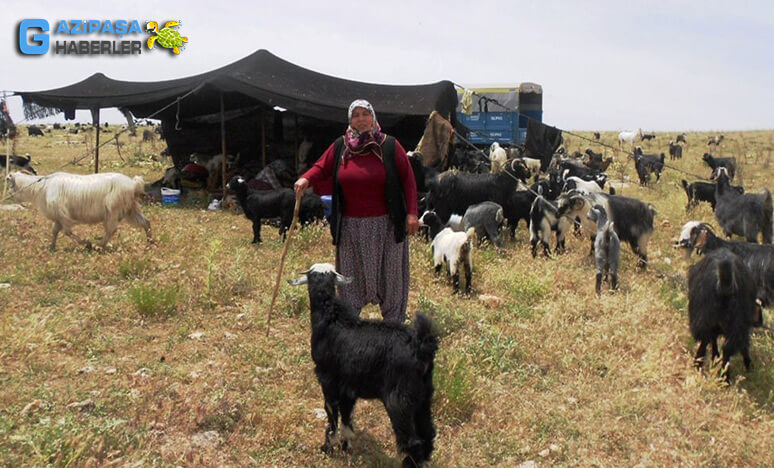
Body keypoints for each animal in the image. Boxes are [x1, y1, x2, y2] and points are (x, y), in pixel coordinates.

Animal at [6, 172, 154, 250]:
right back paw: (150, 243)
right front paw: (52, 247)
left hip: (113, 210)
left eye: (8, 181)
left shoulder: (64, 215)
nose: (8, 196)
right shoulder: (59, 217)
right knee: (146, 222)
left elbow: (67, 232)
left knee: (111, 230)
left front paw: (86, 244)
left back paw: (99, 246)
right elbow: (55, 232)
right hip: (131, 209)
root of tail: (134, 183)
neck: (42, 188)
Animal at [292, 266, 440, 466]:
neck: (331, 318)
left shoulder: (327, 379)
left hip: (399, 400)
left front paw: (328, 448)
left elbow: (332, 413)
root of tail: (421, 346)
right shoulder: (348, 386)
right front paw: (345, 446)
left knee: (412, 441)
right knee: (428, 433)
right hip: (423, 397)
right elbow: (347, 415)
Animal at [688, 249, 760, 380]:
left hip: (703, 319)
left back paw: (699, 365)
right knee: (728, 348)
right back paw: (724, 377)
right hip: (735, 322)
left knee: (707, 341)